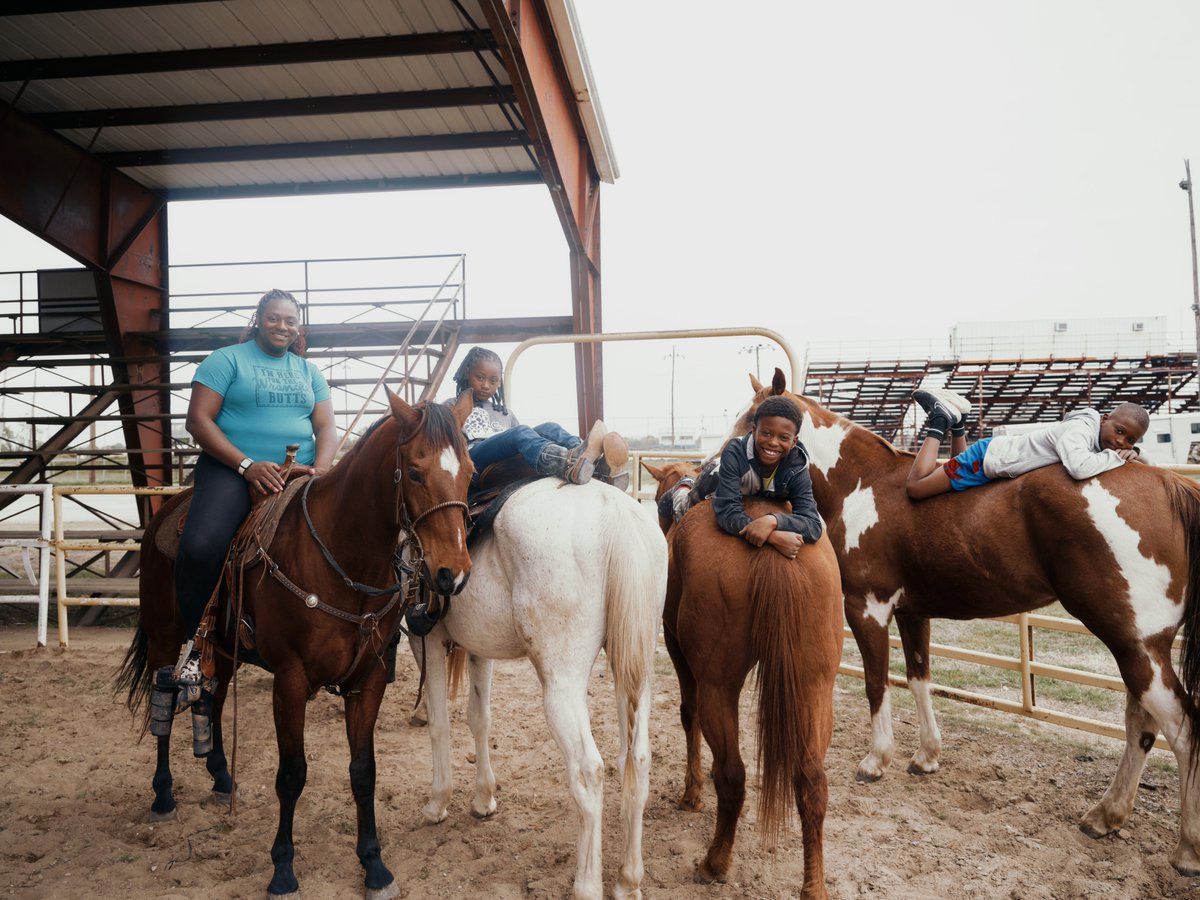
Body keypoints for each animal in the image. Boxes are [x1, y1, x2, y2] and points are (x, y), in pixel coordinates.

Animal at [115, 393, 472, 900]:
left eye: (471, 471)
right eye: (417, 472)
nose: (452, 574)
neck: (343, 557)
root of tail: (164, 515)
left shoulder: (369, 680)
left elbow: (364, 772)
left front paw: (374, 866)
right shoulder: (290, 682)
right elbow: (291, 775)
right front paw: (283, 870)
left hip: (224, 650)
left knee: (214, 699)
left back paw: (222, 777)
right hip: (167, 636)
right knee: (163, 699)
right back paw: (163, 795)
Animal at [405, 480, 667, 900]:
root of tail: (614, 511)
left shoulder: (425, 639)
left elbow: (439, 724)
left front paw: (437, 802)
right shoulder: (478, 650)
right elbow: (479, 719)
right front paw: (483, 798)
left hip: (562, 686)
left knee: (588, 771)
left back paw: (587, 884)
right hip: (635, 671)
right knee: (637, 759)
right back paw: (628, 880)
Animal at [734, 369, 1200, 878]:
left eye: (753, 422)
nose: (716, 472)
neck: (862, 484)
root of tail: (1170, 485)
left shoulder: (867, 609)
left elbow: (877, 683)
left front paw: (876, 761)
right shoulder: (912, 612)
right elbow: (919, 678)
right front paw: (926, 757)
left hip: (1136, 646)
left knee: (1181, 729)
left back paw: (1187, 848)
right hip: (1138, 645)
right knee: (1141, 726)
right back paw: (1106, 816)